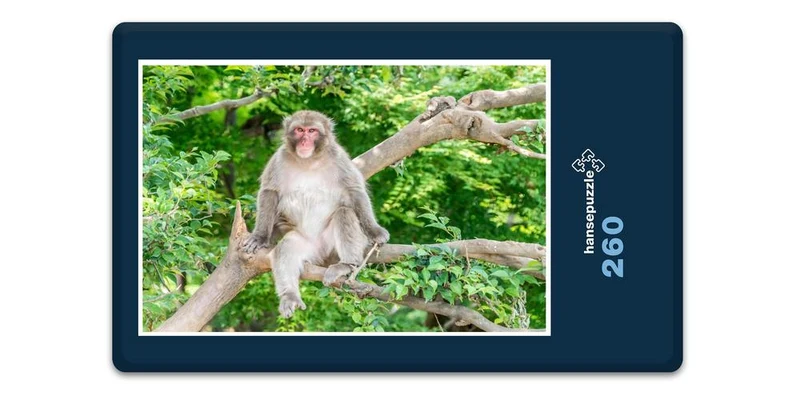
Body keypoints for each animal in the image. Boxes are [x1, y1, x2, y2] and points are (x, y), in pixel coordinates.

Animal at [241, 110, 390, 318]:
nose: (305, 141)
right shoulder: (279, 159)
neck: (308, 161)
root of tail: (322, 253)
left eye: (312, 131)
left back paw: (346, 265)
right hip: (307, 245)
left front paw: (375, 231)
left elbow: (354, 191)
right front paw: (260, 236)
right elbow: (270, 193)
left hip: (332, 246)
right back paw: (289, 296)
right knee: (286, 248)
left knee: (344, 213)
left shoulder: (339, 158)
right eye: (299, 130)